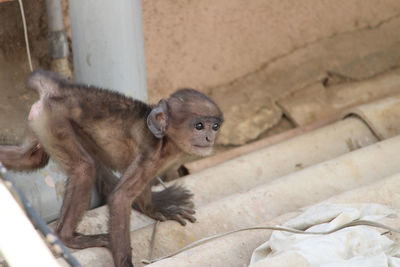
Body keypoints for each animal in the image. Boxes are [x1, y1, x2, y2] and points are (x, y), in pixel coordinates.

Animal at [0, 71, 222, 267]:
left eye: (215, 127)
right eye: (199, 126)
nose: (209, 138)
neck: (165, 141)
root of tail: (61, 90)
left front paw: (157, 209)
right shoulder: (151, 154)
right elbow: (120, 198)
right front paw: (125, 263)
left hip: (41, 122)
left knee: (30, 159)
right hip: (55, 121)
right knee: (84, 168)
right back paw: (67, 237)